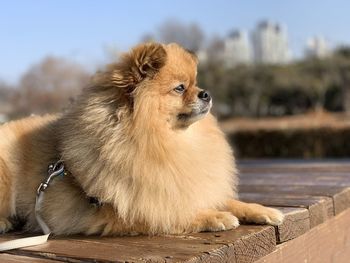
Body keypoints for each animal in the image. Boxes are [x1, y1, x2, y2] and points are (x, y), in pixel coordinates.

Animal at [0, 42, 282, 236]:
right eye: (180, 88)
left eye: (196, 83)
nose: (207, 93)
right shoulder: (133, 206)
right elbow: (172, 214)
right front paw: (215, 217)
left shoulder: (182, 185)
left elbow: (225, 199)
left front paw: (262, 210)